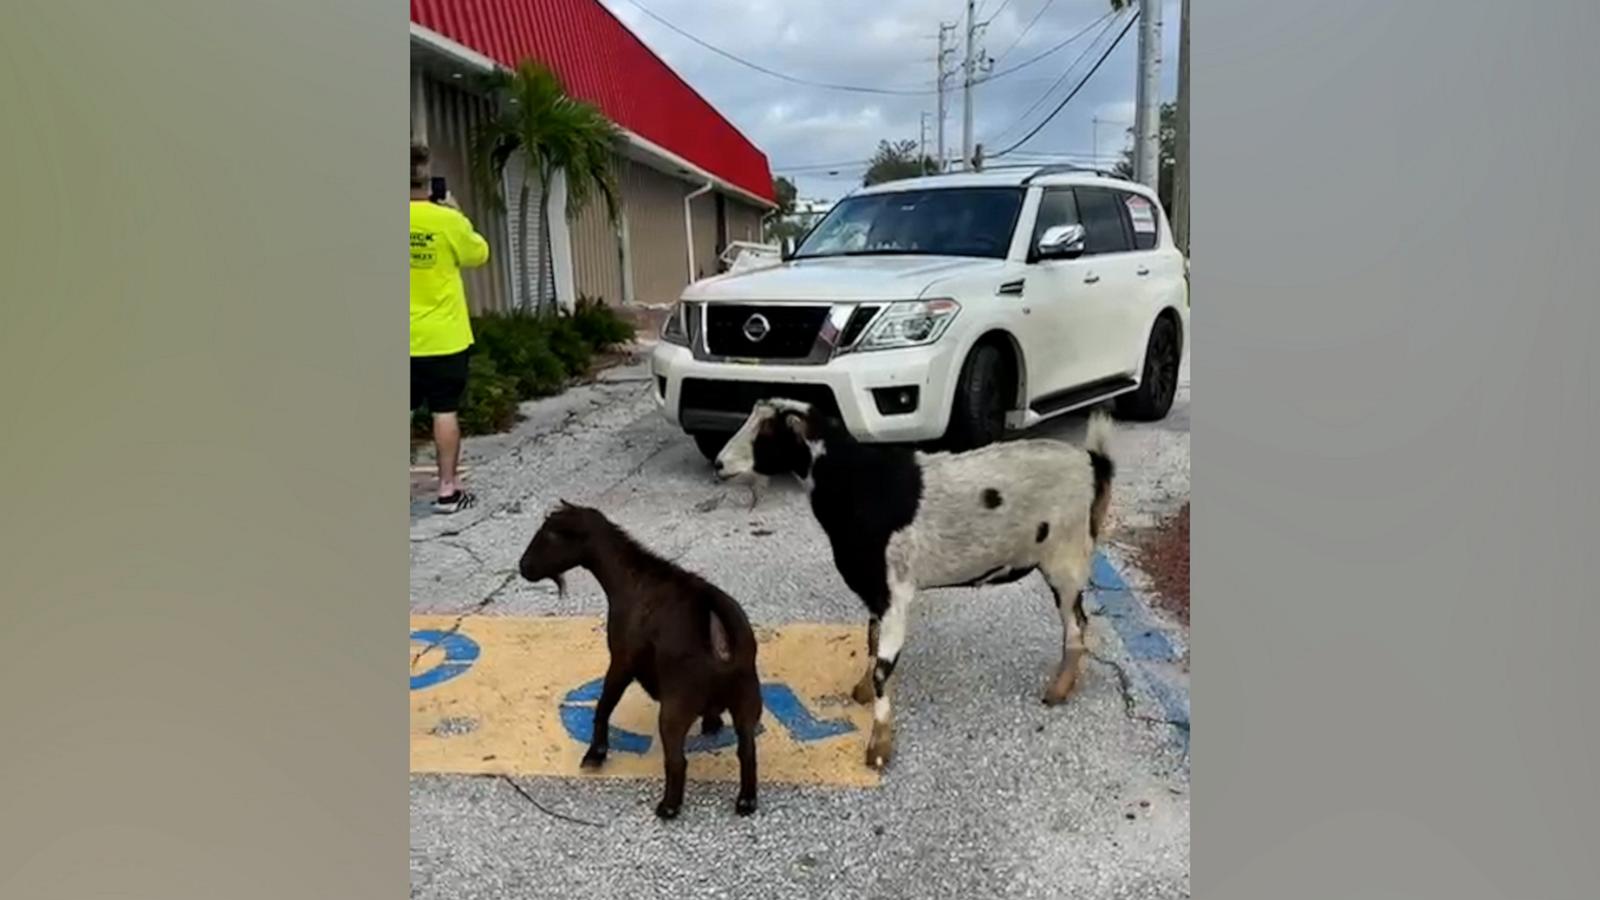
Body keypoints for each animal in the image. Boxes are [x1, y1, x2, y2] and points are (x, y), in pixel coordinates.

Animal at [515, 499, 758, 816]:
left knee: (677, 759)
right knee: (747, 750)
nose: (523, 567)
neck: (631, 579)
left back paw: (668, 807)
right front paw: (712, 724)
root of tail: (716, 624)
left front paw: (595, 753)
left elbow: (604, 704)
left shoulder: (621, 660)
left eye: (552, 535)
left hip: (677, 704)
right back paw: (746, 800)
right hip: (747, 697)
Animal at [713, 397, 1113, 762]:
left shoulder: (895, 592)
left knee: (1076, 624)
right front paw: (861, 690)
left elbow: (882, 668)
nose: (719, 464)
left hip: (1065, 558)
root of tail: (1094, 462)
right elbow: (871, 643)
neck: (855, 484)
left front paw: (878, 746)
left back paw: (1058, 690)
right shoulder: (875, 591)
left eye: (767, 430)